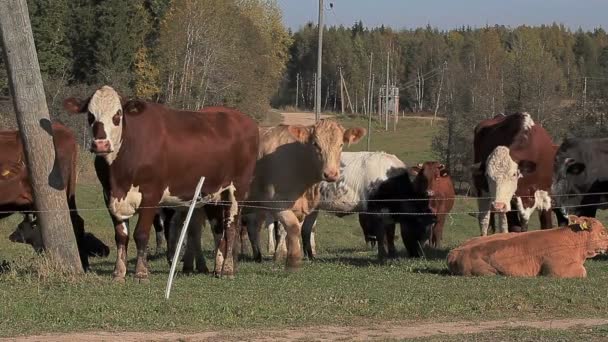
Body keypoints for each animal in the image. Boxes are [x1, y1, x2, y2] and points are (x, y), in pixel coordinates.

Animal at [63, 87, 258, 282]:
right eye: (90, 115)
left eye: (118, 114)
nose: (101, 144)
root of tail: (244, 119)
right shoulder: (110, 196)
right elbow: (121, 236)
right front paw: (118, 273)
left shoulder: (151, 196)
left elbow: (141, 234)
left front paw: (141, 272)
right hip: (213, 193)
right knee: (218, 229)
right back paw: (218, 268)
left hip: (237, 189)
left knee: (231, 228)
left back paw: (228, 270)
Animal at [243, 120, 366, 270]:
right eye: (315, 144)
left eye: (341, 144)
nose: (331, 174)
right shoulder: (277, 203)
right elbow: (291, 228)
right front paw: (287, 258)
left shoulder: (302, 208)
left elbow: (298, 230)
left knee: (252, 226)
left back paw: (256, 255)